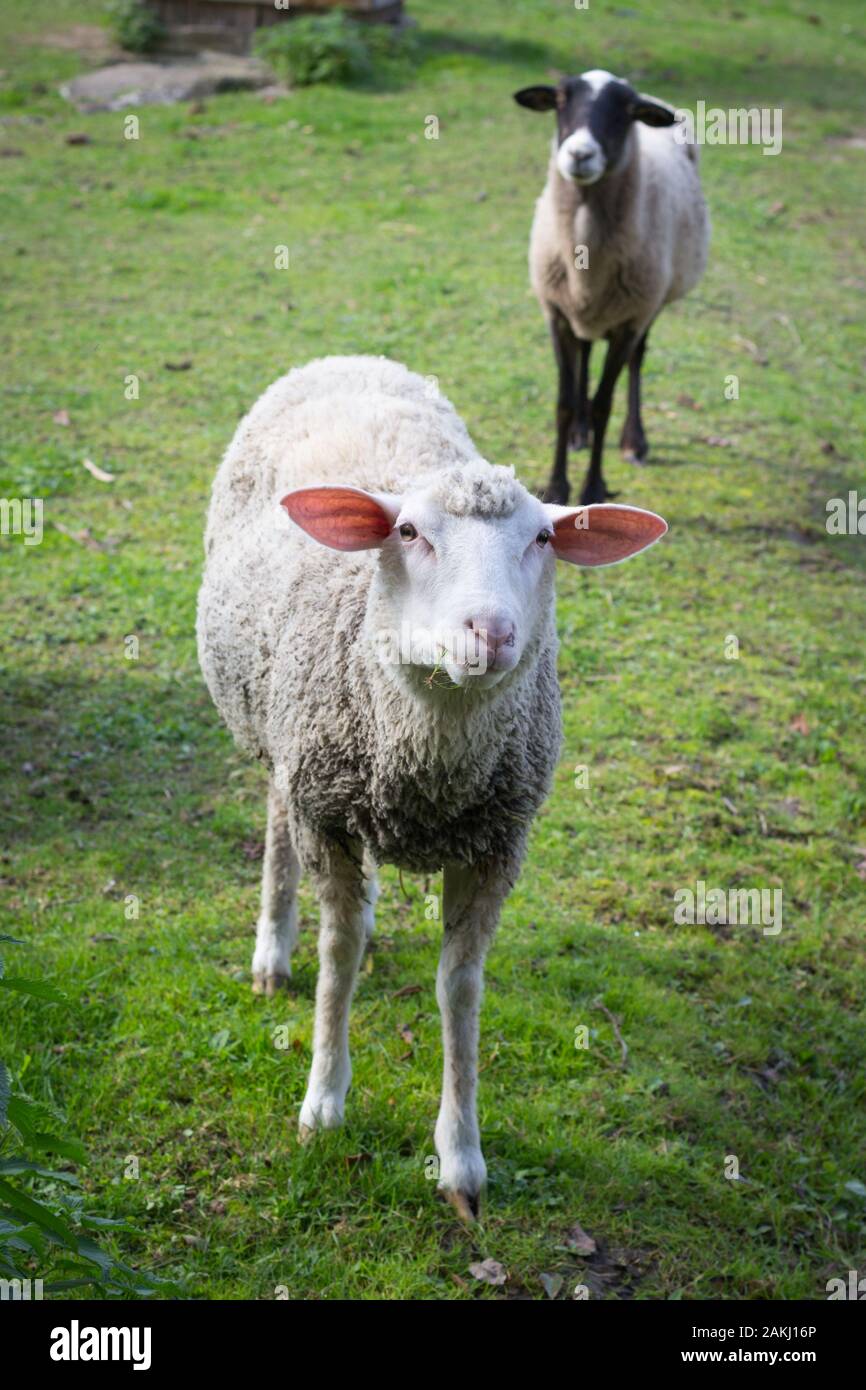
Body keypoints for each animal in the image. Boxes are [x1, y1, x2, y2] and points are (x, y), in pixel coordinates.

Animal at [196, 354, 667, 1218]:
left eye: (543, 537)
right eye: (409, 533)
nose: (491, 632)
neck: (430, 761)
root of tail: (353, 355)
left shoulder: (496, 845)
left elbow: (460, 988)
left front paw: (461, 1156)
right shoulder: (326, 809)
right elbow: (340, 953)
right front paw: (324, 1103)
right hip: (281, 734)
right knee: (278, 817)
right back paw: (273, 948)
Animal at [514, 69, 710, 506]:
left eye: (626, 111)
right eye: (560, 101)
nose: (579, 154)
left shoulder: (629, 320)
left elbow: (605, 402)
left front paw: (592, 487)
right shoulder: (557, 313)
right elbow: (563, 403)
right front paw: (557, 486)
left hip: (651, 303)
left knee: (637, 359)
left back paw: (634, 441)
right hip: (584, 312)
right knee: (587, 351)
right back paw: (580, 432)